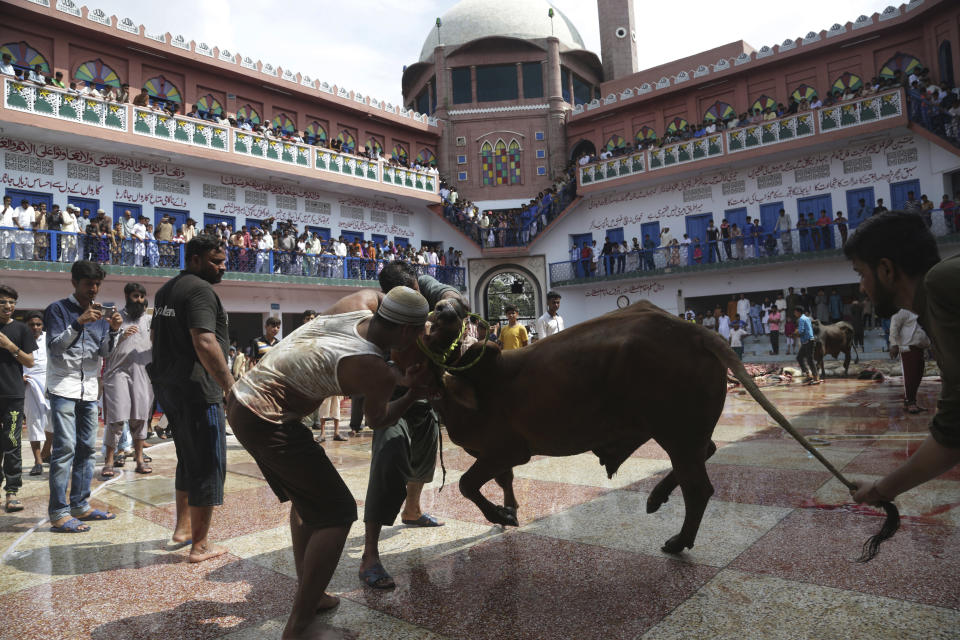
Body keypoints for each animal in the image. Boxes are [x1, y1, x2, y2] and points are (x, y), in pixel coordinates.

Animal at [428, 300, 824, 556]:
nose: (444, 309)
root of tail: (696, 333)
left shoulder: (506, 449)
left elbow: (467, 484)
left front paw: (499, 514)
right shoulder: (494, 453)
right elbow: (502, 481)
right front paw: (508, 511)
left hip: (673, 428)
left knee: (698, 487)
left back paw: (677, 541)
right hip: (680, 429)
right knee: (705, 452)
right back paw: (656, 498)